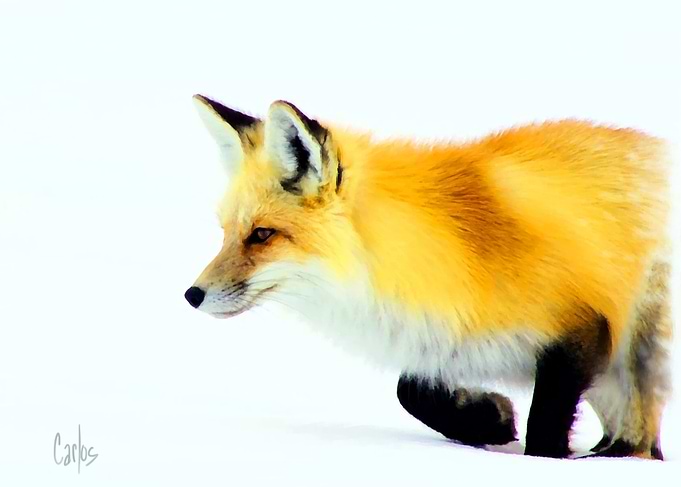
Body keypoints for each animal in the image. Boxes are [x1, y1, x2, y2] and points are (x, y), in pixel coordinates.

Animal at [185, 94, 672, 460]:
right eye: (226, 232)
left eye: (262, 235)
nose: (192, 295)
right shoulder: (445, 339)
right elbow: (410, 390)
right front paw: (488, 420)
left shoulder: (582, 326)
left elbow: (544, 431)